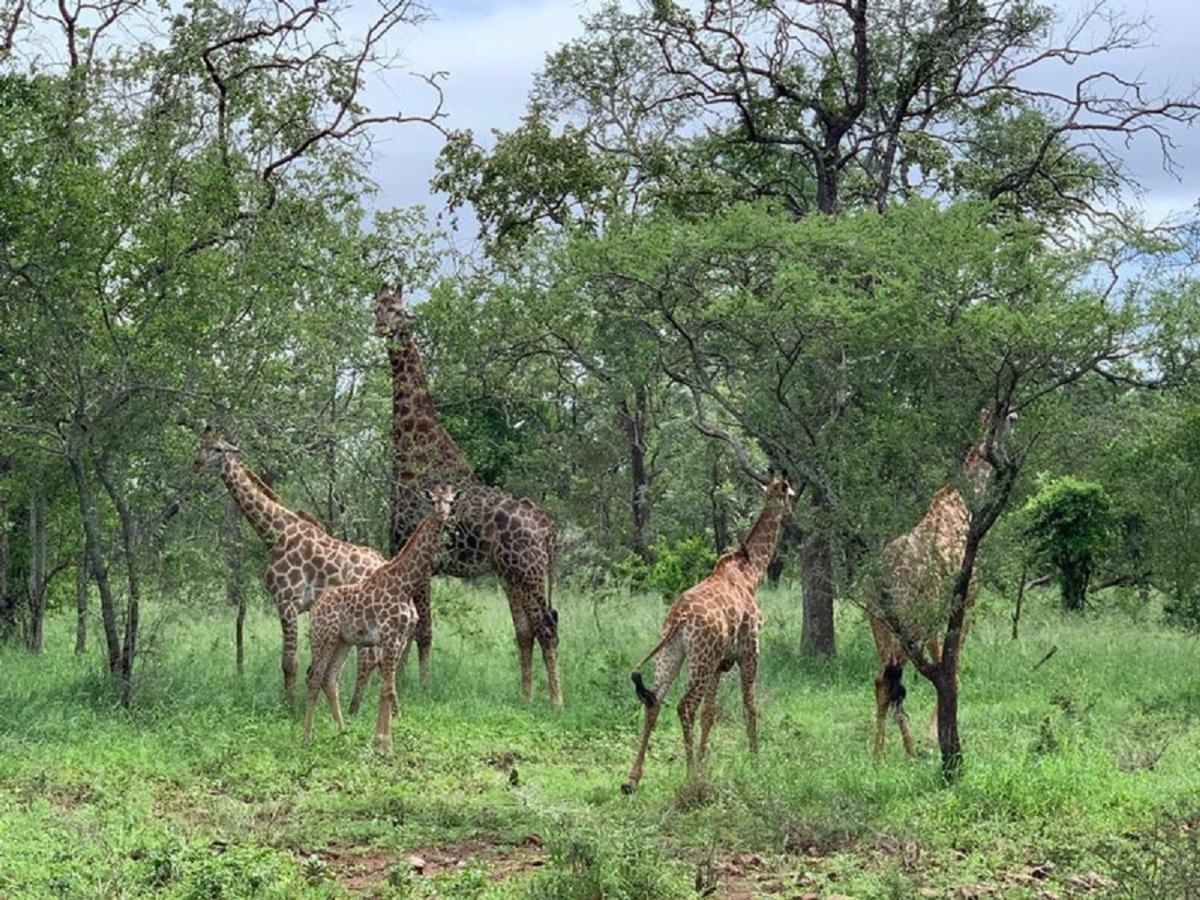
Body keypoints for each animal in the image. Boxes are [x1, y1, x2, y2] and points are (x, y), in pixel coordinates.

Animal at [194, 427, 384, 710]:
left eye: (218, 449)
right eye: (199, 445)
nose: (196, 464)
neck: (275, 533)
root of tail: (383, 562)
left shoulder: (286, 601)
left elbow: (290, 662)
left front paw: (291, 708)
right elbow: (303, 665)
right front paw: (299, 704)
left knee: (369, 658)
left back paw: (354, 709)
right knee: (373, 657)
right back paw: (356, 708)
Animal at [304, 487, 458, 748]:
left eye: (450, 501)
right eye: (434, 501)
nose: (442, 514)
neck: (406, 584)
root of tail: (316, 606)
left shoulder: (401, 638)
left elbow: (390, 688)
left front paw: (382, 740)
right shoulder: (389, 636)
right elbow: (386, 688)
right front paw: (384, 743)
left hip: (343, 641)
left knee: (329, 678)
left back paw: (342, 731)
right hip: (323, 636)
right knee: (314, 678)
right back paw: (306, 736)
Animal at [374, 285, 561, 710]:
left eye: (400, 311)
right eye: (376, 307)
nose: (382, 327)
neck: (412, 457)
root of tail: (547, 528)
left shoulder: (423, 561)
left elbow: (423, 630)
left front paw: (422, 687)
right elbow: (411, 628)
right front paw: (404, 682)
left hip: (527, 571)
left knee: (546, 625)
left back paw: (556, 700)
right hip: (512, 572)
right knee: (526, 629)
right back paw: (526, 695)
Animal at [619, 472, 796, 796]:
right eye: (789, 493)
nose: (792, 513)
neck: (752, 571)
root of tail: (679, 617)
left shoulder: (718, 663)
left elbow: (710, 715)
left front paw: (704, 763)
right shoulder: (750, 651)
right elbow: (749, 706)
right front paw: (755, 761)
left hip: (673, 653)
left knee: (654, 702)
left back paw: (632, 779)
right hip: (700, 657)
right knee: (685, 706)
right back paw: (689, 778)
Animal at [868, 410, 1017, 763]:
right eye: (1010, 418)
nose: (1016, 420)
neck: (965, 503)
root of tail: (879, 577)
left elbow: (940, 668)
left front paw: (930, 740)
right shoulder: (965, 599)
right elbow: (952, 669)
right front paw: (936, 738)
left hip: (879, 623)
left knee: (884, 681)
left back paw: (891, 754)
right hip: (908, 620)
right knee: (890, 679)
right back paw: (889, 755)